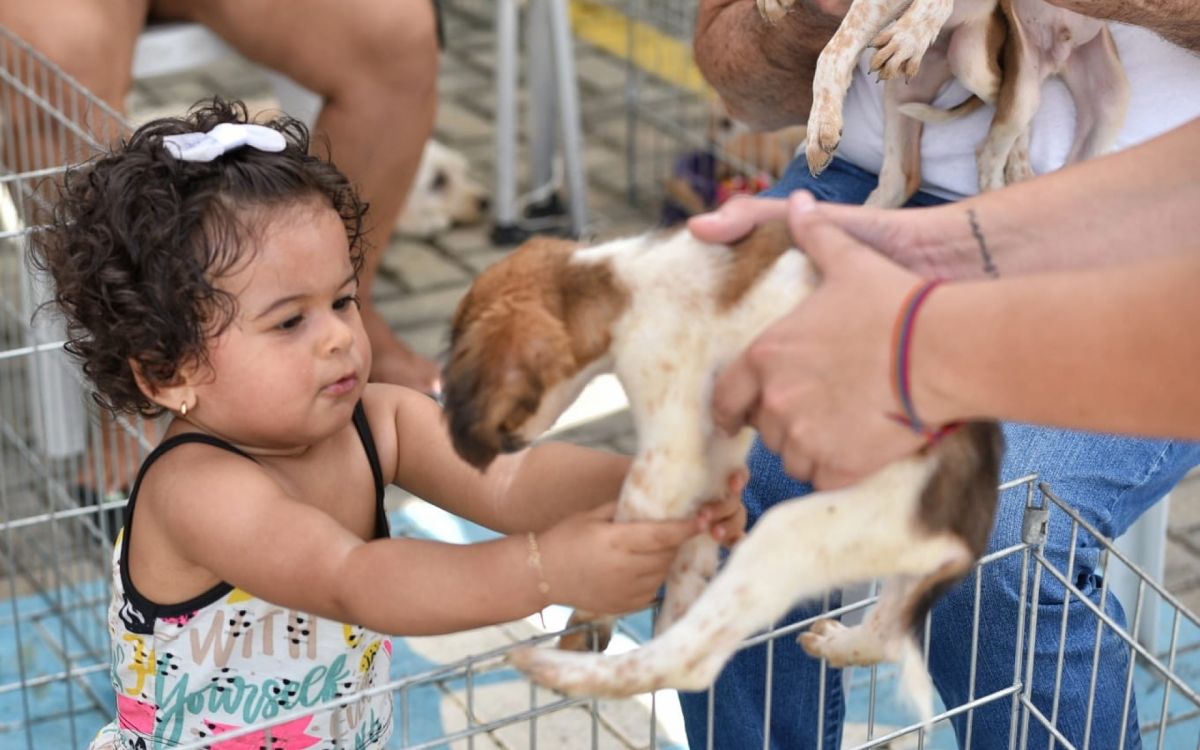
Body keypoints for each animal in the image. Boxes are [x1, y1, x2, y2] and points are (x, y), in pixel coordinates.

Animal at [441, 220, 1003, 715]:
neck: (619, 283)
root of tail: (966, 537)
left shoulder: (669, 454)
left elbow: (634, 526)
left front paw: (589, 619)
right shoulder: (714, 451)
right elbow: (692, 549)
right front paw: (675, 601)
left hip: (796, 532)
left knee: (691, 662)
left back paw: (553, 667)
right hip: (897, 562)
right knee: (884, 637)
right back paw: (839, 643)